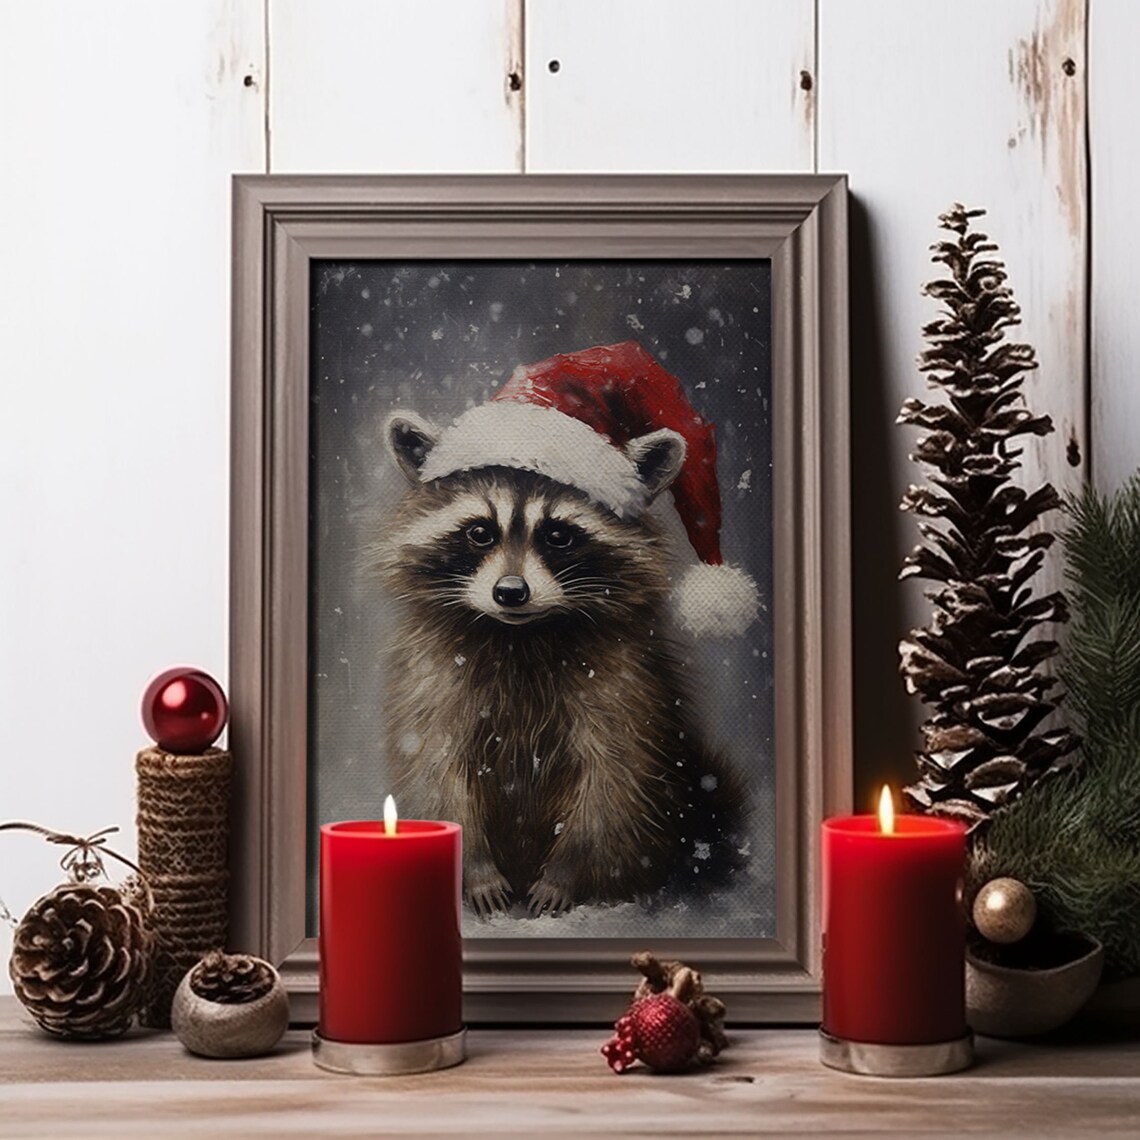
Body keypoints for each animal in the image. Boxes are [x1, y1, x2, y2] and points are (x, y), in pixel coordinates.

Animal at [375, 408, 746, 916]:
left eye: (558, 535)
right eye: (479, 532)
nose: (511, 592)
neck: (520, 636)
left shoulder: (622, 684)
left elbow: (614, 780)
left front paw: (565, 877)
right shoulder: (433, 680)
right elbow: (437, 771)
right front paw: (475, 871)